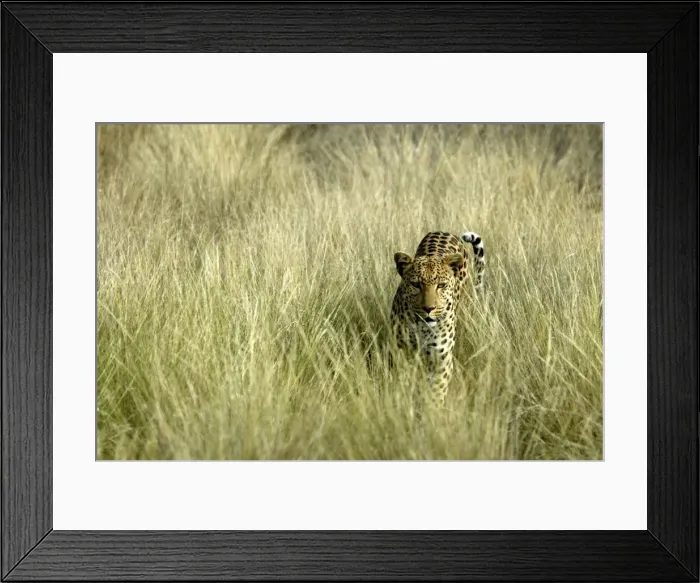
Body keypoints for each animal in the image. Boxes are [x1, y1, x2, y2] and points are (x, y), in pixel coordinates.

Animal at [390, 231, 485, 406]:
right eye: (416, 285)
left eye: (441, 285)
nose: (429, 309)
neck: (423, 327)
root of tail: (445, 232)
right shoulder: (403, 353)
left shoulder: (441, 360)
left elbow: (436, 391)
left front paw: (432, 409)